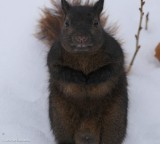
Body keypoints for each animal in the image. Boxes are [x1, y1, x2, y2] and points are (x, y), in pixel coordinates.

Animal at [37, 0, 128, 144]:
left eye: (96, 22)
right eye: (66, 23)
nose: (81, 38)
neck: (83, 55)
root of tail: (87, 134)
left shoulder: (115, 53)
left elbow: (113, 68)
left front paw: (93, 78)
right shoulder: (54, 56)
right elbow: (58, 70)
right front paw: (77, 77)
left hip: (114, 120)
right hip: (61, 120)